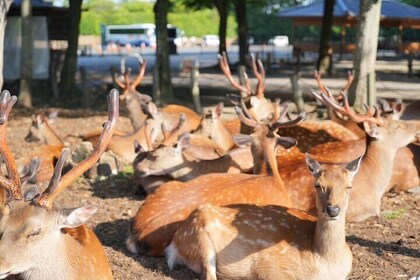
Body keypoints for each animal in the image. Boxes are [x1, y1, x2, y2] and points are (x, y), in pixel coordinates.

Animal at [167, 153, 360, 280]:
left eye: (349, 186)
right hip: (200, 240)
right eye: (318, 185)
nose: (333, 210)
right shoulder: (270, 266)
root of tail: (173, 243)